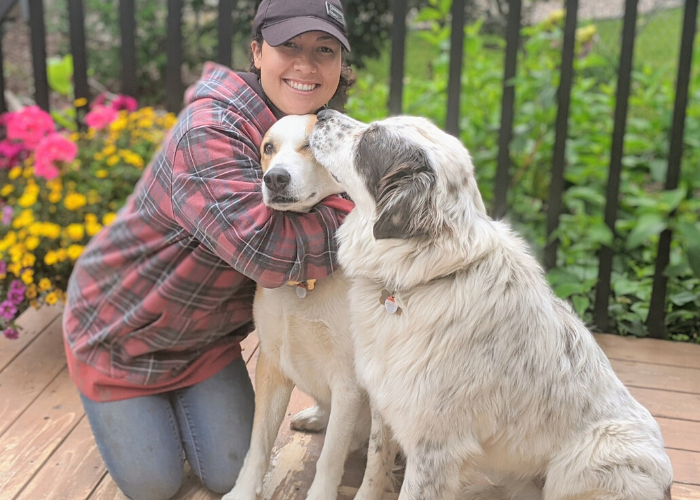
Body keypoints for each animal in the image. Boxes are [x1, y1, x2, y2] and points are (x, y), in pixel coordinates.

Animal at [223, 115, 372, 500]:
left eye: (311, 145)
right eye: (268, 148)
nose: (275, 178)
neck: (303, 288)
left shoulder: (348, 382)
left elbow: (330, 459)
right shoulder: (272, 362)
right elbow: (257, 444)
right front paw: (243, 490)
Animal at [308, 111, 668, 500]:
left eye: (369, 139)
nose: (322, 114)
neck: (425, 275)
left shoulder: (434, 447)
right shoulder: (385, 409)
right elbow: (374, 469)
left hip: (590, 457)